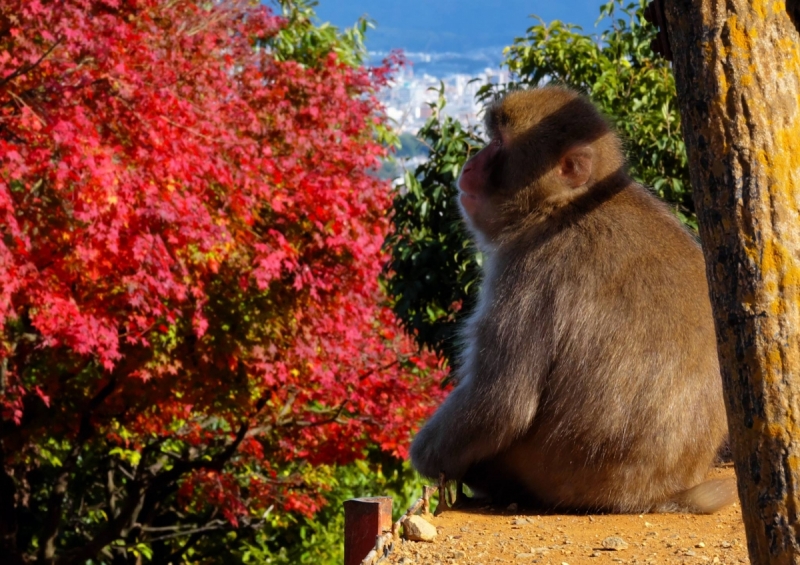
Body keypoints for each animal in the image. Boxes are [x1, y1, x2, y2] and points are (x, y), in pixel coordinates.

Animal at [412, 86, 736, 512]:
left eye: (498, 144)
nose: (469, 165)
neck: (568, 206)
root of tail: (659, 494)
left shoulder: (527, 269)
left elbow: (500, 403)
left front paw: (424, 456)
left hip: (543, 474)